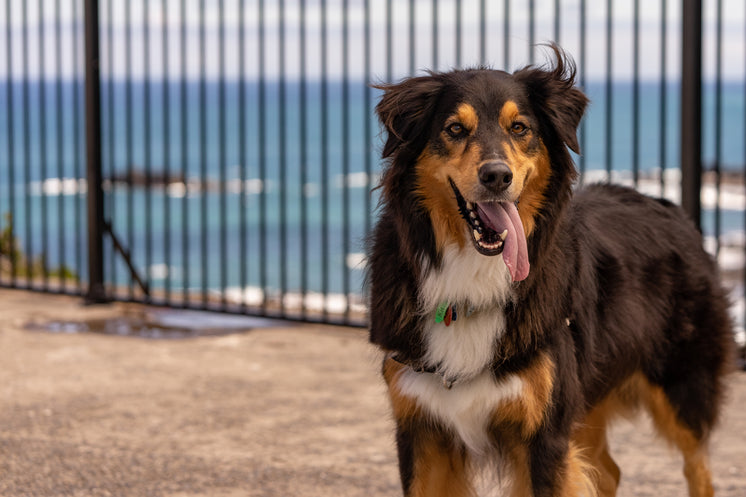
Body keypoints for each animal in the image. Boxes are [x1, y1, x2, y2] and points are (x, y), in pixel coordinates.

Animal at [366, 43, 732, 496]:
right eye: (454, 129)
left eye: (519, 127)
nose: (497, 176)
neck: (473, 273)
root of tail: (669, 207)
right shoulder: (421, 429)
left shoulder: (545, 433)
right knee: (608, 470)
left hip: (682, 387)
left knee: (699, 469)